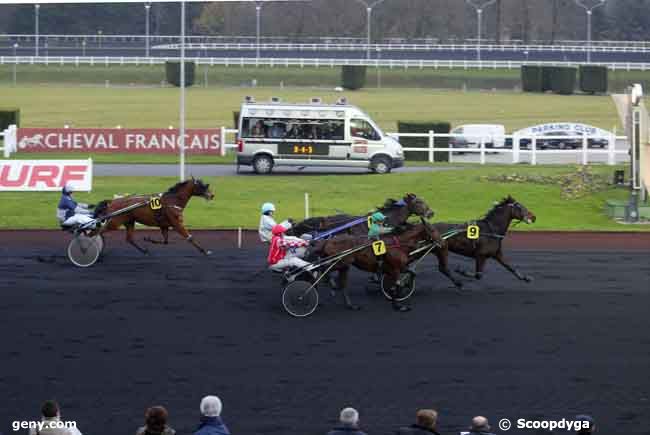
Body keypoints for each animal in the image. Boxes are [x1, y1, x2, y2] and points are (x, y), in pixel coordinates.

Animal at [308, 223, 456, 312]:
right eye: (432, 230)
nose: (443, 242)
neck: (399, 244)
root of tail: (328, 240)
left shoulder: (397, 267)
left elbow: (409, 274)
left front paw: (402, 290)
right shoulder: (395, 269)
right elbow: (395, 284)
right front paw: (398, 305)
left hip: (344, 266)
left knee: (342, 284)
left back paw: (350, 304)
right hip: (340, 262)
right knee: (322, 269)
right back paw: (328, 284)